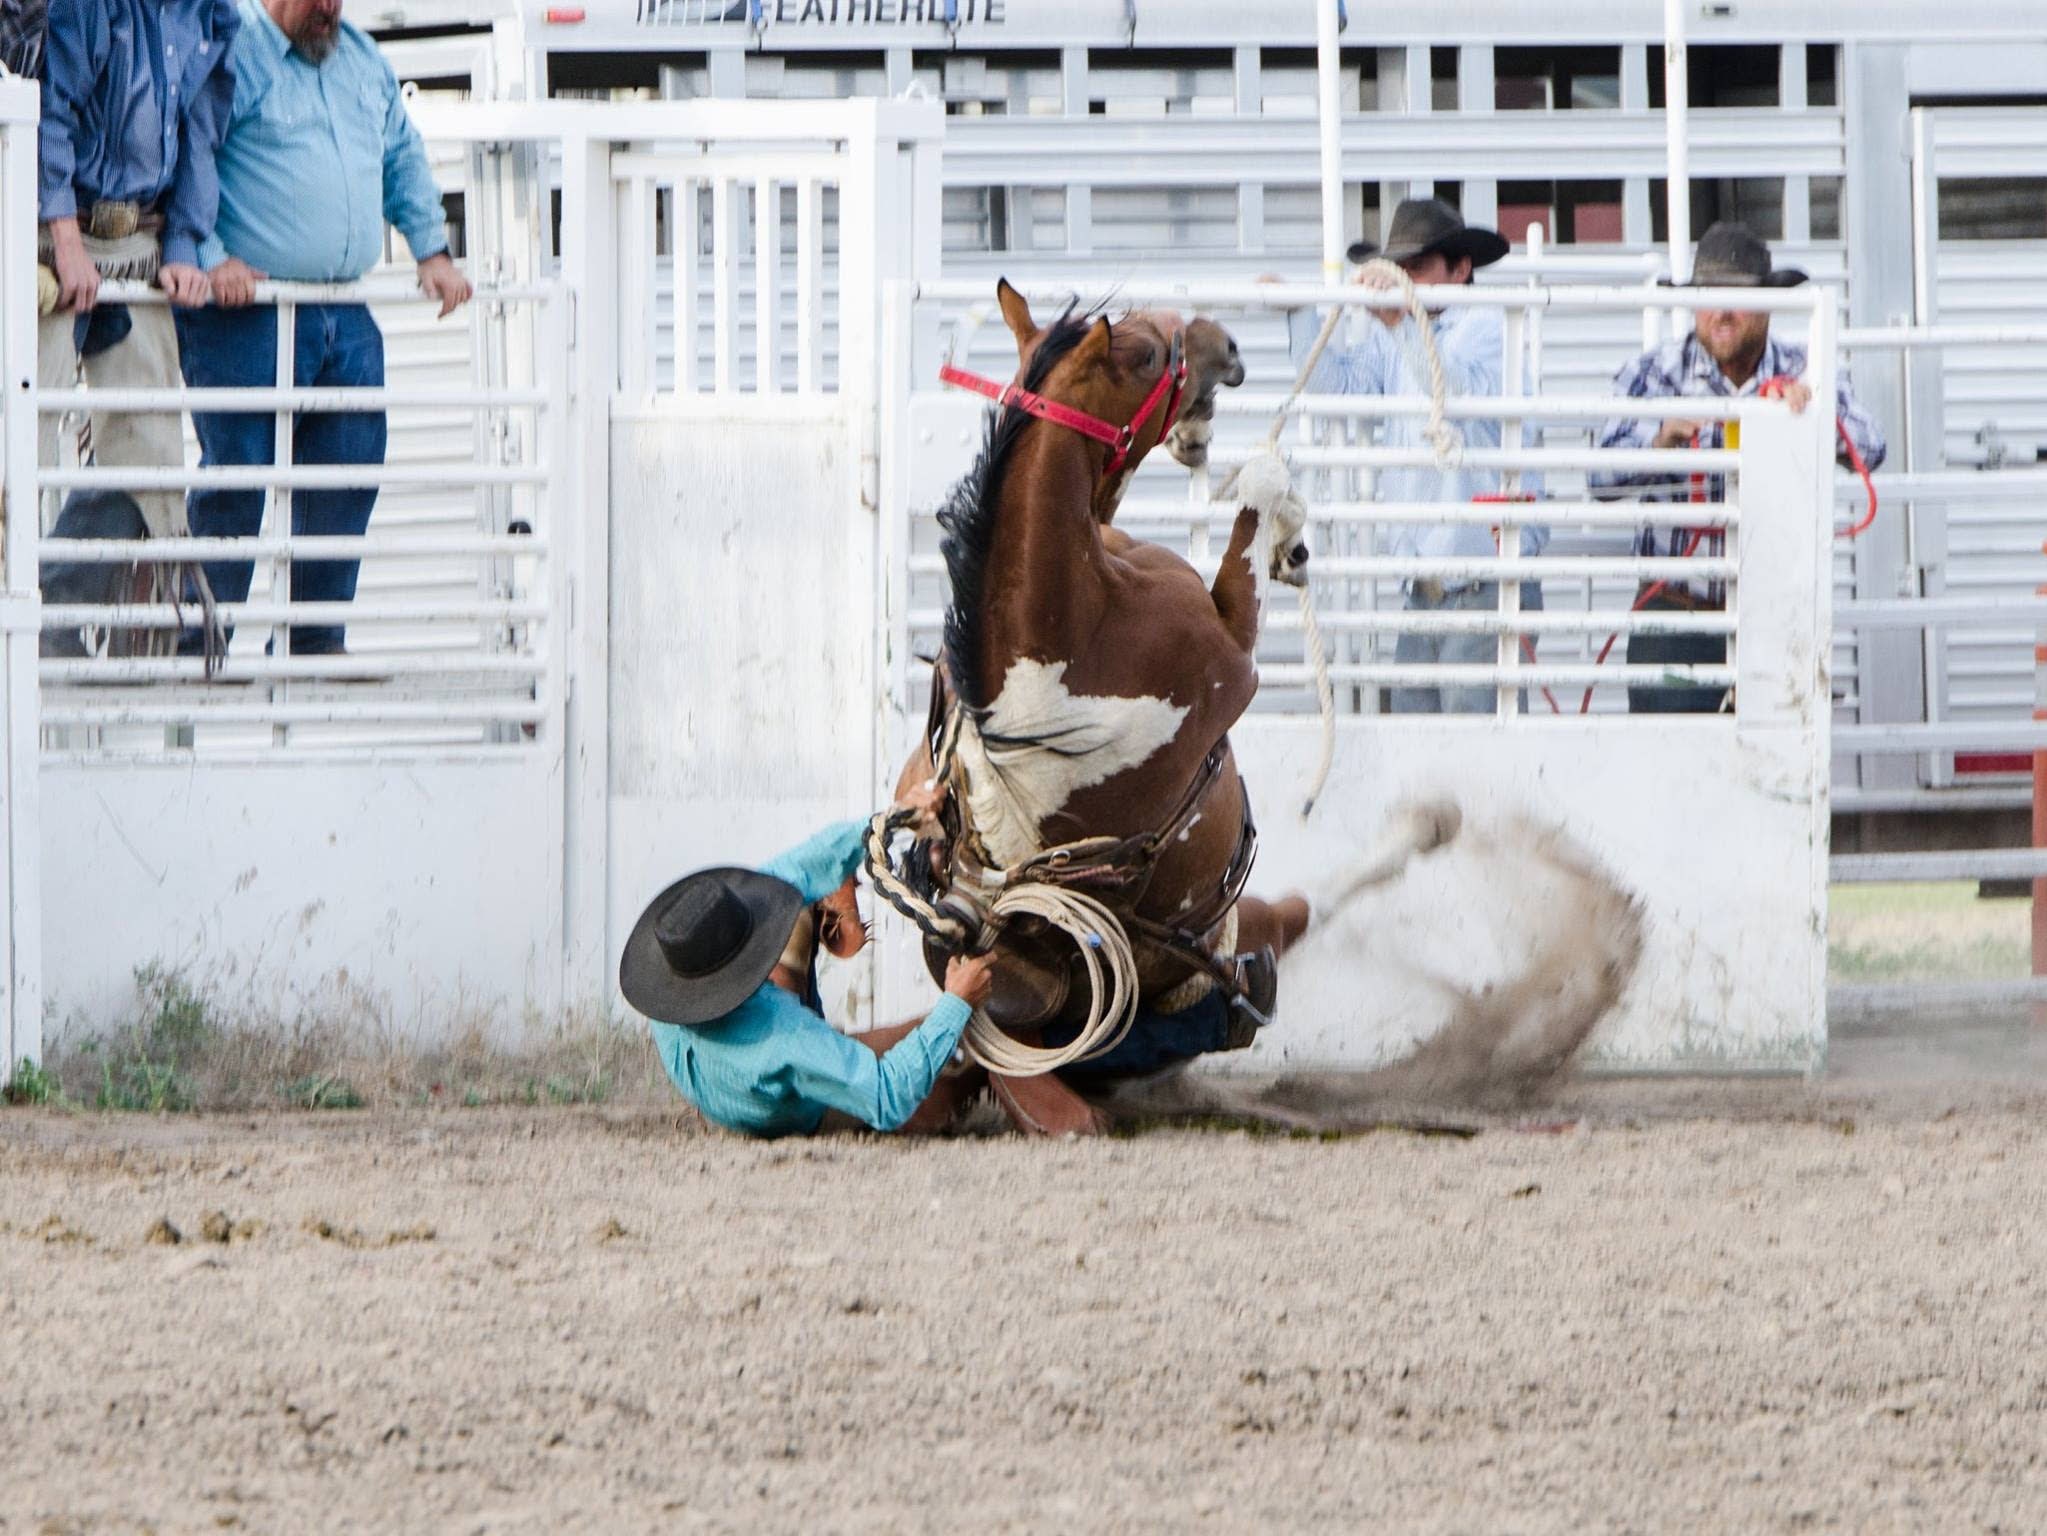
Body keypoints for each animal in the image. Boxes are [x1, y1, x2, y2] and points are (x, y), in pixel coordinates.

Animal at [880, 282, 1408, 1138]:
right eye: (1150, 353)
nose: (1226, 344)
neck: (1068, 629)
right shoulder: (1234, 656)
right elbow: (1256, 500)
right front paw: (1282, 518)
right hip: (1226, 941)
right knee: (1300, 914)